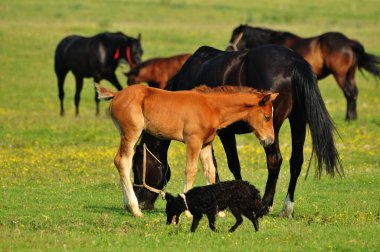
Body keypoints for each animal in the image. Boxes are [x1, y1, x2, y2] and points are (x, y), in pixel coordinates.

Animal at [95, 83, 280, 217]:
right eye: (267, 116)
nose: (270, 140)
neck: (211, 107)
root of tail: (116, 94)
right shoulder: (193, 141)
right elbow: (190, 171)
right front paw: (188, 212)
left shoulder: (206, 144)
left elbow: (210, 171)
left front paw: (218, 212)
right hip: (131, 133)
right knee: (122, 161)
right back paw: (135, 209)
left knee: (123, 162)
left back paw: (129, 206)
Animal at [226, 24, 380, 121]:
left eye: (235, 37)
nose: (228, 50)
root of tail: (348, 42)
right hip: (350, 74)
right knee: (354, 93)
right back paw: (353, 117)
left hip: (340, 75)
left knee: (349, 93)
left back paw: (349, 118)